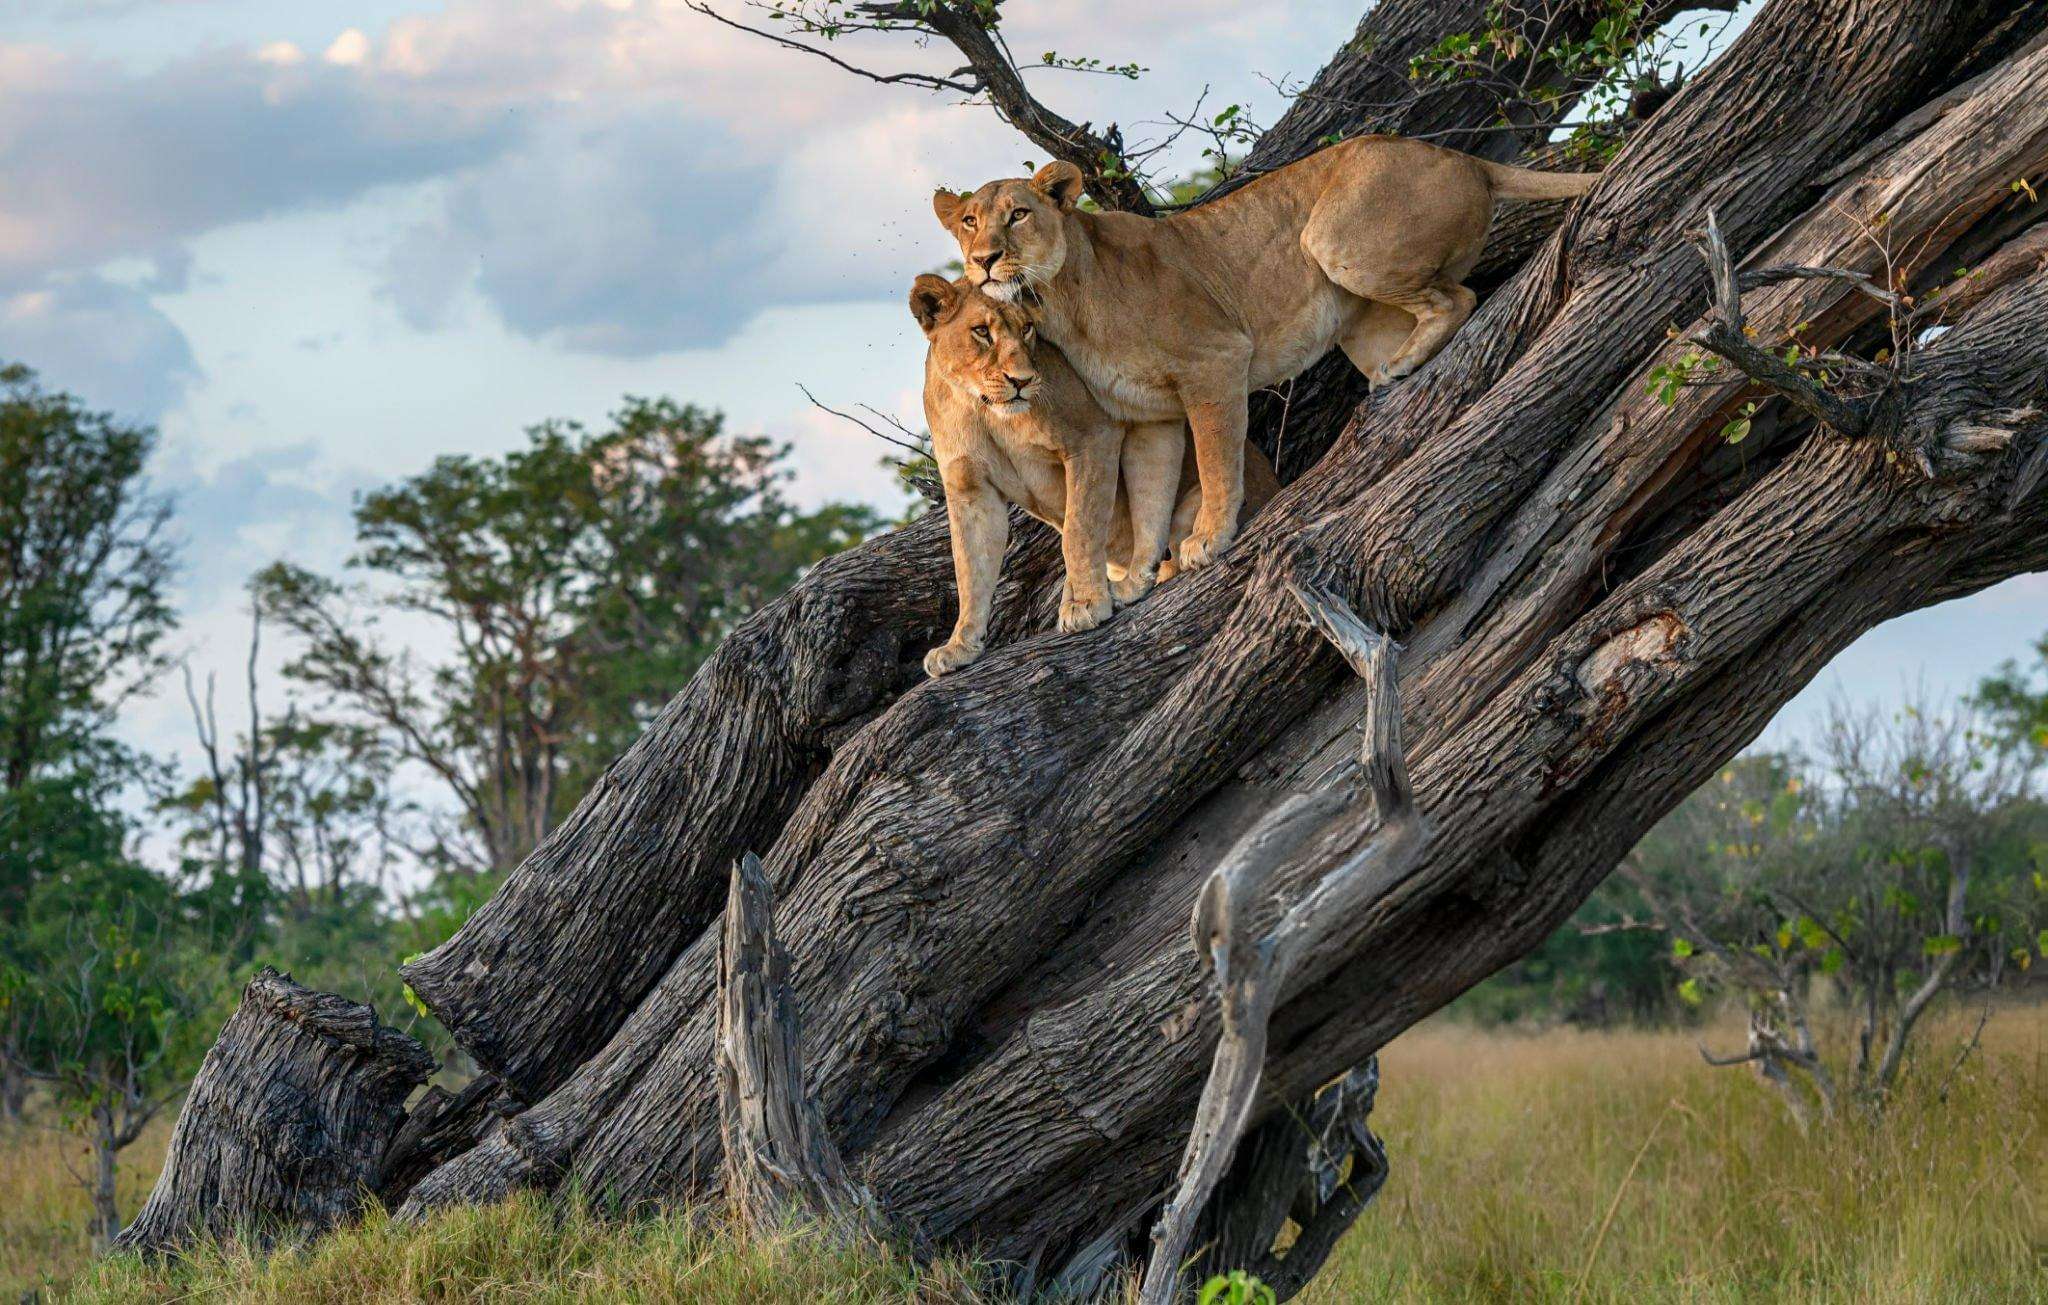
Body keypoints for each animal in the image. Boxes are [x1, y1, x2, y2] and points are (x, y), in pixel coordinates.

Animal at [911, 274, 1278, 677]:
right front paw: (960, 646)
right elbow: (969, 569)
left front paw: (1085, 604)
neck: (981, 408)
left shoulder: (1093, 437)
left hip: (1191, 508)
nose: (1022, 380)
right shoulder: (970, 489)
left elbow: (1079, 530)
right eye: (981, 331)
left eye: (1026, 328)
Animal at [934, 135, 1596, 570]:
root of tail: (1464, 157)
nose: (983, 260)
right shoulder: (1148, 412)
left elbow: (1217, 461)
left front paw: (1209, 538)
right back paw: (1398, 367)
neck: (1058, 299)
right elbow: (1152, 492)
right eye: (969, 222)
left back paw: (1403, 365)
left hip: (1334, 239)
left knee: (1459, 296)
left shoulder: (1215, 360)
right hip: (1359, 319)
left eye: (1019, 215)